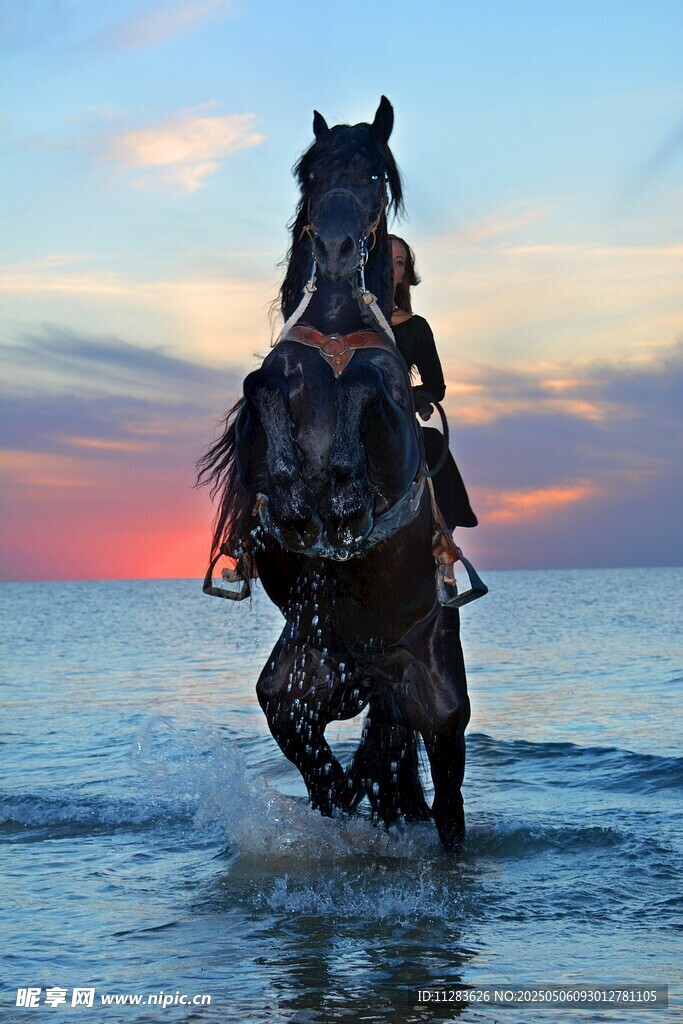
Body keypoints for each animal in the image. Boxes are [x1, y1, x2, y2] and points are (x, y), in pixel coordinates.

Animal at [198, 97, 483, 848]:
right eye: (313, 171)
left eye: (375, 176)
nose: (331, 247)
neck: (332, 326)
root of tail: (377, 666)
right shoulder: (262, 412)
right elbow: (261, 385)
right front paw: (297, 499)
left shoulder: (392, 419)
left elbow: (368, 385)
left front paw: (347, 494)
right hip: (298, 694)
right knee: (326, 776)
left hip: (440, 708)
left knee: (447, 804)